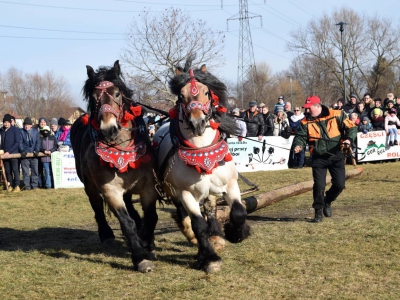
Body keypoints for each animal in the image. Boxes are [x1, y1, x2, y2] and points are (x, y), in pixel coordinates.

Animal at [71, 60, 159, 272]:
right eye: (94, 96)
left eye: (117, 93)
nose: (108, 129)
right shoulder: (110, 190)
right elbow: (126, 223)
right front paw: (140, 257)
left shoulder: (149, 187)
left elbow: (151, 217)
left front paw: (148, 244)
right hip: (89, 185)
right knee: (97, 207)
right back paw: (107, 235)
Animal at [153, 55, 250, 274]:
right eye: (181, 96)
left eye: (206, 92)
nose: (197, 123)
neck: (201, 148)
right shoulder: (186, 193)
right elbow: (198, 225)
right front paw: (209, 258)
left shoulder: (231, 184)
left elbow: (238, 212)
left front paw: (235, 233)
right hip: (174, 192)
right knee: (185, 215)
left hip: (212, 189)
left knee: (211, 207)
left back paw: (216, 236)